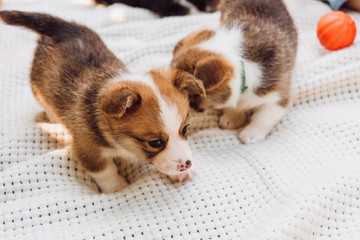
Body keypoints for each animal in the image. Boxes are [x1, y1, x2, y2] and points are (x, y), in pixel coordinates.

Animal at [0, 10, 204, 193]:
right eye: (155, 142)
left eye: (185, 129)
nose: (187, 164)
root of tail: (60, 26)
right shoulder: (88, 150)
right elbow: (105, 170)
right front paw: (117, 187)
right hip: (39, 89)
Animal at [172, 0, 298, 143]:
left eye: (190, 94)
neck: (242, 61)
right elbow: (233, 105)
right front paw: (231, 118)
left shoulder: (278, 96)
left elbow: (263, 117)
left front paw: (251, 133)